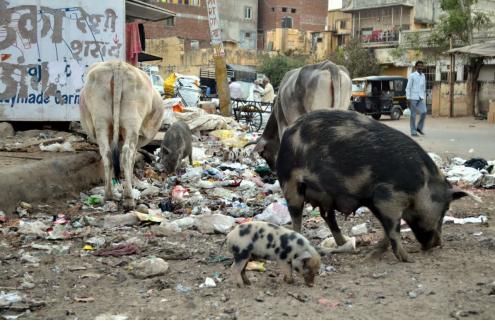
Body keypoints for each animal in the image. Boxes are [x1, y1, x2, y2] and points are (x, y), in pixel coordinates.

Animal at [80, 61, 166, 209]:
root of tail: (117, 64)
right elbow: (131, 161)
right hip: (132, 122)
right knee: (127, 155)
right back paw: (129, 198)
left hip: (101, 121)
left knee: (107, 154)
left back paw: (109, 195)